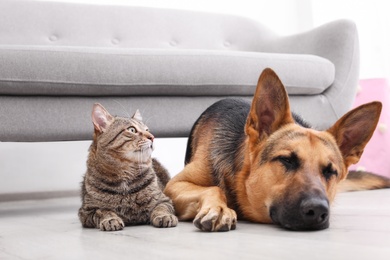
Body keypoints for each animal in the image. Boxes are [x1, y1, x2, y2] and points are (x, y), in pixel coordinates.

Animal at [78, 102, 178, 231]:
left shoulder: (164, 200)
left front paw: (164, 216)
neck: (126, 173)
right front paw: (110, 219)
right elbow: (103, 211)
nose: (152, 137)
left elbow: (161, 208)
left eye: (147, 130)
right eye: (132, 129)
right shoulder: (87, 211)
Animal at [165, 67, 390, 232]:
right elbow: (214, 187)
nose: (318, 210)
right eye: (286, 160)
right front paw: (220, 209)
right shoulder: (174, 186)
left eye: (330, 171)